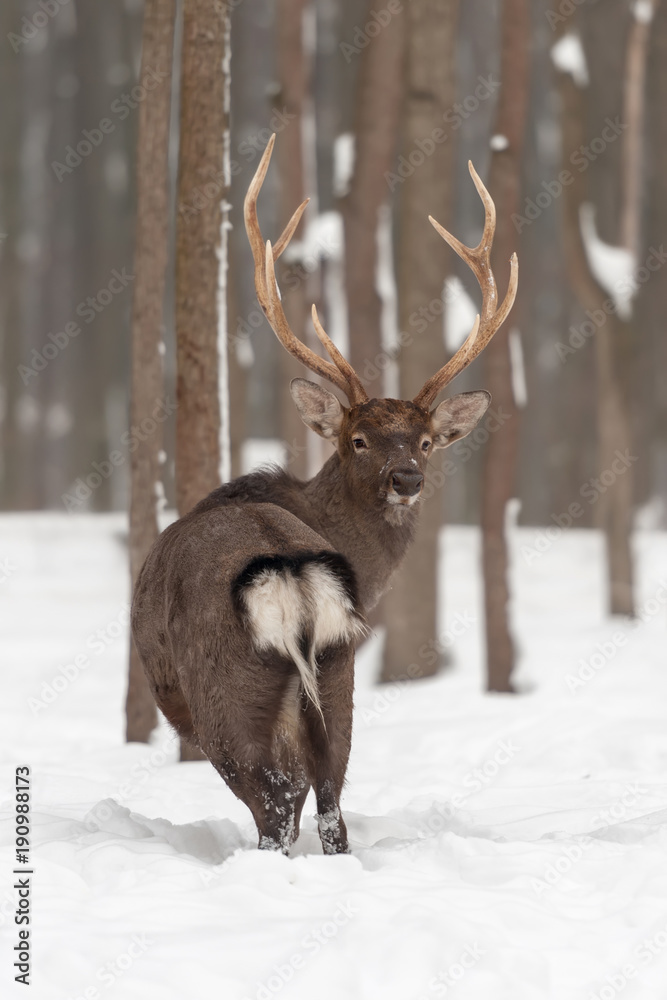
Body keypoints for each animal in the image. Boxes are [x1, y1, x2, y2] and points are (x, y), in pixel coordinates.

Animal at [129, 131, 516, 852]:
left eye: (426, 441)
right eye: (358, 439)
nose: (406, 478)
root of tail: (294, 580)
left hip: (228, 688)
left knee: (275, 807)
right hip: (340, 674)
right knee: (332, 801)